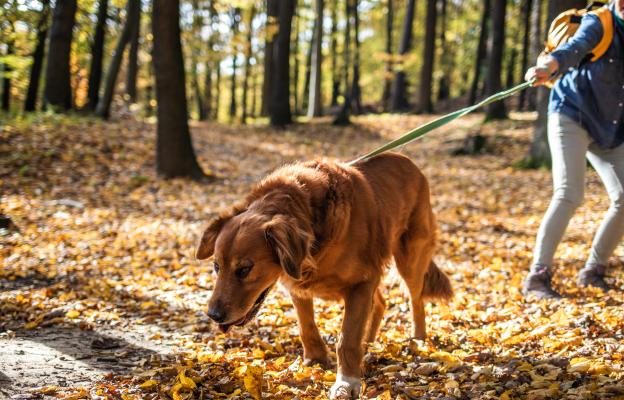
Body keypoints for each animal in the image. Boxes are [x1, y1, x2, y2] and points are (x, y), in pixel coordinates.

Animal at [197, 152, 450, 398]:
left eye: (244, 269)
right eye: (216, 266)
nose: (213, 315)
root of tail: (406, 160)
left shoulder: (362, 282)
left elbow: (347, 339)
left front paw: (346, 383)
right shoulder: (299, 284)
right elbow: (306, 326)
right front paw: (316, 359)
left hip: (410, 258)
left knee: (415, 299)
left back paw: (418, 339)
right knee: (381, 302)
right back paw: (368, 341)